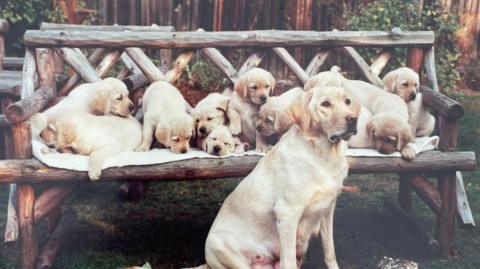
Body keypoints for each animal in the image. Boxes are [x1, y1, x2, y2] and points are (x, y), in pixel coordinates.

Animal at [200, 85, 360, 268]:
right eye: (325, 104)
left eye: (347, 101)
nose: (354, 119)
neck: (323, 156)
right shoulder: (287, 214)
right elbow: (288, 261)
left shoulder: (327, 210)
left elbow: (330, 252)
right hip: (219, 245)